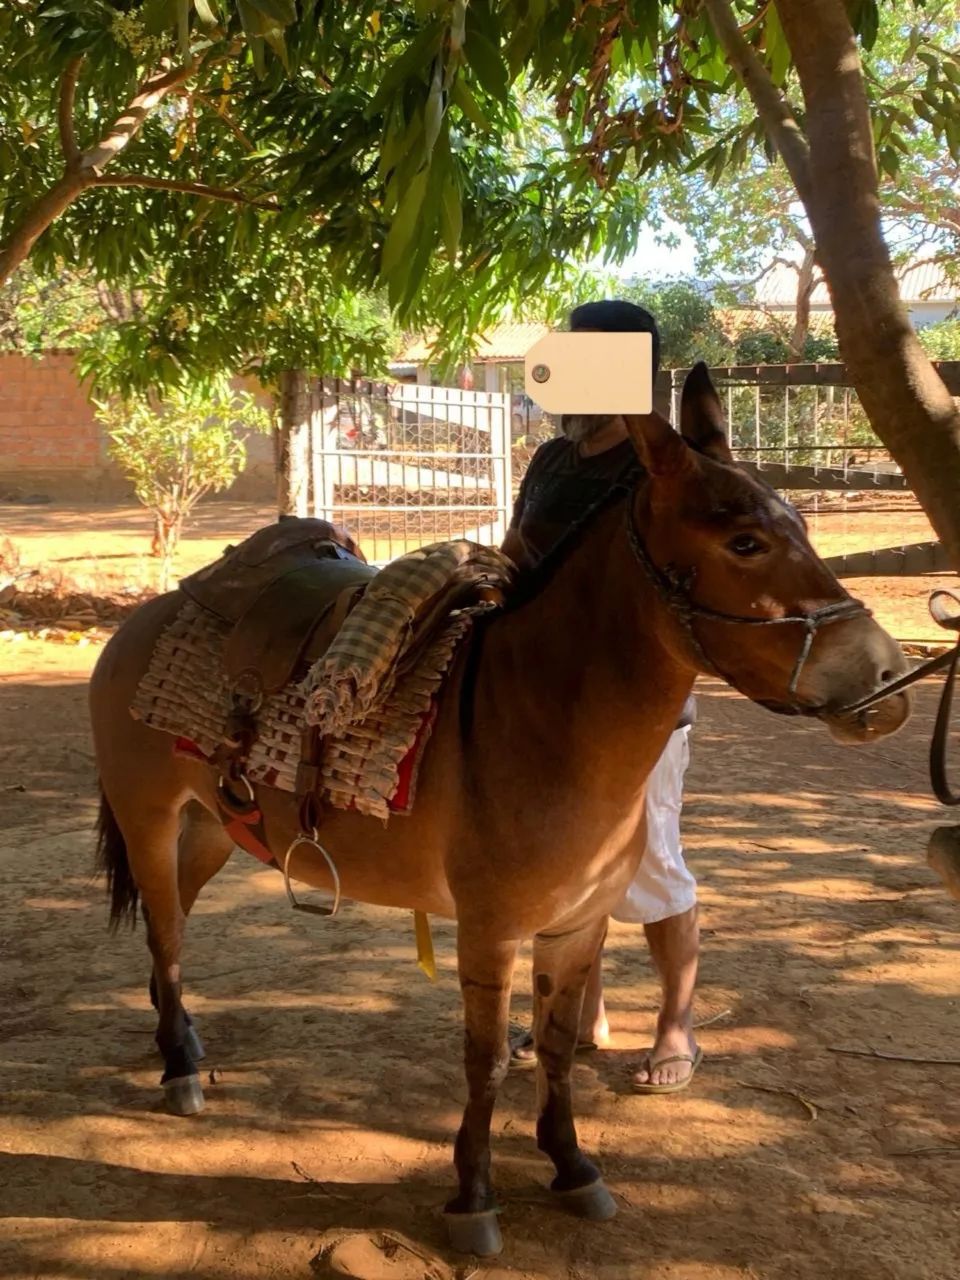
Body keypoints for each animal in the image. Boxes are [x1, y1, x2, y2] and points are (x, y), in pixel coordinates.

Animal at [89, 366, 911, 1257]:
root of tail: (145, 618)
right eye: (746, 543)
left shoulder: (576, 925)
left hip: (211, 829)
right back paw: (179, 1068)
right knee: (166, 934)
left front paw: (572, 1166)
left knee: (173, 924)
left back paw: (178, 1036)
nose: (887, 679)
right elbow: (483, 1060)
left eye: (801, 526)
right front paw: (475, 1195)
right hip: (148, 817)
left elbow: (556, 1048)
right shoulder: (489, 930)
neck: (541, 717)